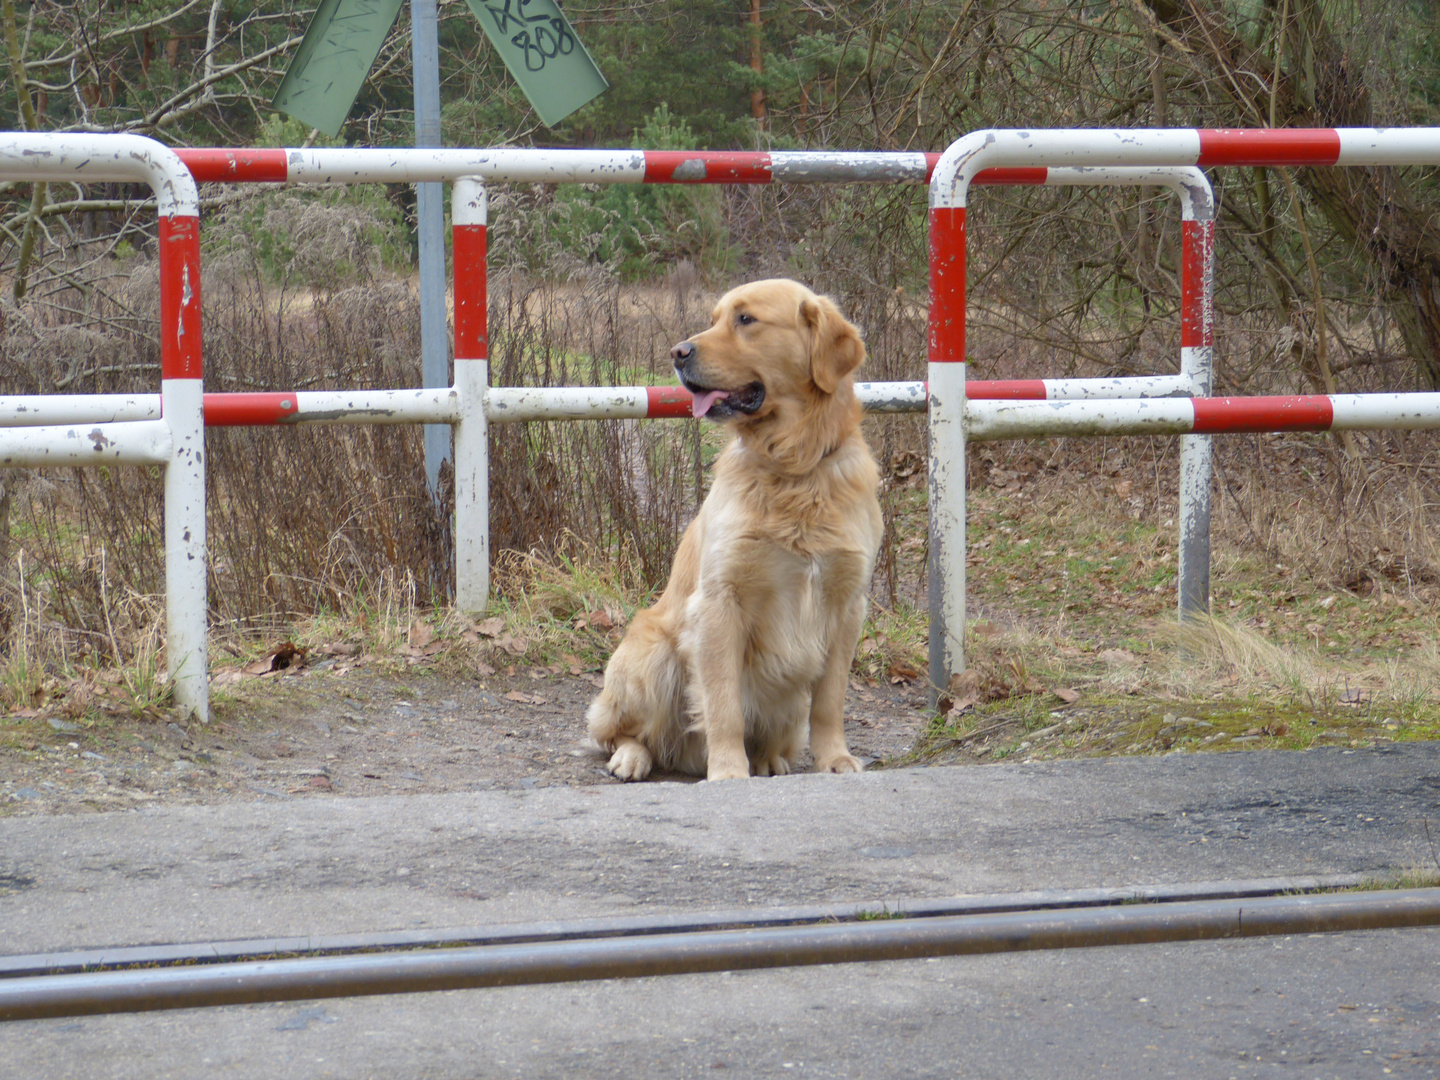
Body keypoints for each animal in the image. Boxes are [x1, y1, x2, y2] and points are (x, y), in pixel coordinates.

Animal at [581, 279, 875, 783]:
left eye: (746, 319)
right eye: (715, 318)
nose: (678, 352)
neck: (794, 468)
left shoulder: (847, 605)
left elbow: (830, 702)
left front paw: (835, 758)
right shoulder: (720, 600)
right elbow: (723, 704)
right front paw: (727, 770)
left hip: (787, 702)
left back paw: (770, 759)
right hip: (651, 654)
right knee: (618, 731)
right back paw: (633, 757)